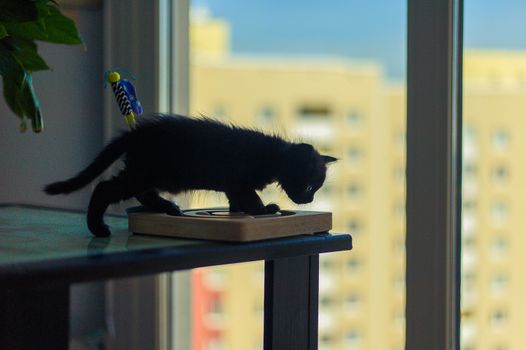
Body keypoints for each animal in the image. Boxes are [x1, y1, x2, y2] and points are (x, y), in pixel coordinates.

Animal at [43, 116, 336, 237]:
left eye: (316, 189)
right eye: (309, 186)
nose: (309, 201)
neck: (274, 155)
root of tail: (135, 133)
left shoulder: (233, 186)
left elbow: (237, 201)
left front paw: (243, 210)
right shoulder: (238, 180)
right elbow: (251, 199)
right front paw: (264, 210)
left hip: (146, 173)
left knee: (141, 193)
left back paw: (167, 206)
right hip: (144, 172)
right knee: (105, 187)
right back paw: (98, 228)